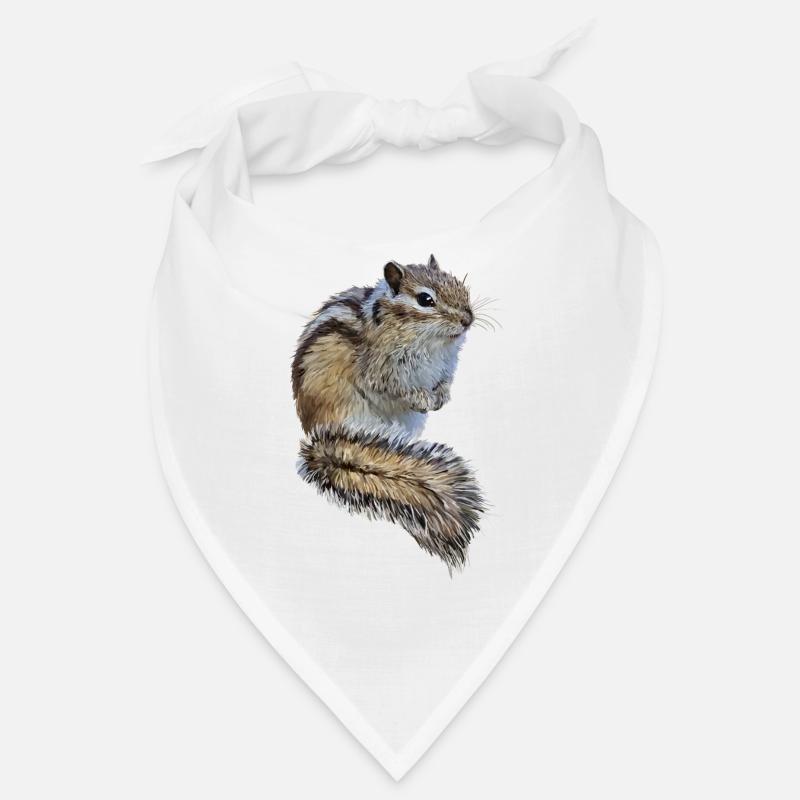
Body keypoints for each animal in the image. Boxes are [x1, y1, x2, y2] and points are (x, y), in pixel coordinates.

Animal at [291, 254, 486, 571]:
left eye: (459, 284)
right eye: (425, 299)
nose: (467, 320)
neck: (430, 342)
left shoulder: (446, 366)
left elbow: (443, 383)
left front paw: (441, 396)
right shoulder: (381, 369)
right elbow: (391, 387)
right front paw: (420, 397)